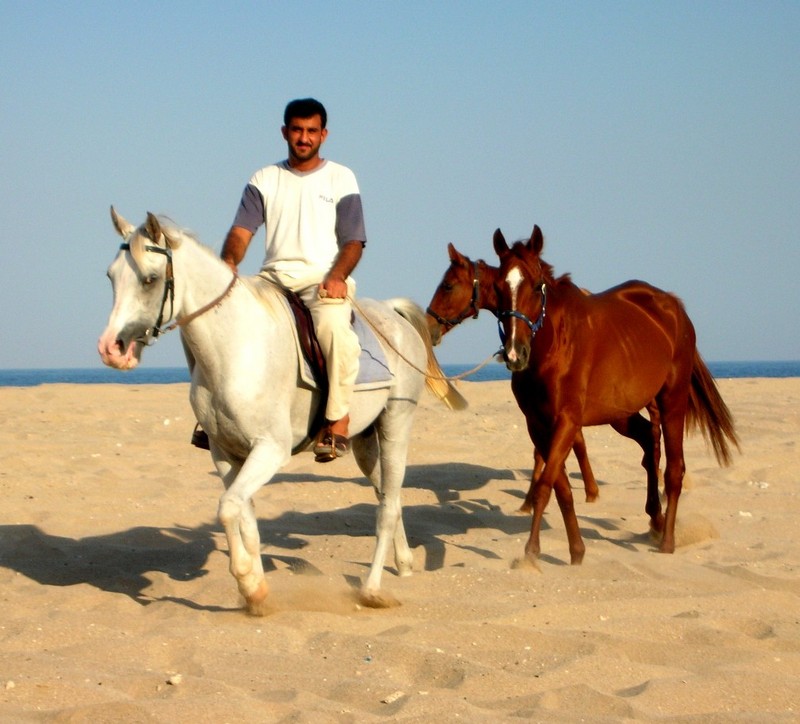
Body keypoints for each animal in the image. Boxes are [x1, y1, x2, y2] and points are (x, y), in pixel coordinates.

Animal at [97, 206, 466, 612]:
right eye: (111, 276)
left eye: (149, 279)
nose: (111, 348)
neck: (235, 347)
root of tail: (393, 314)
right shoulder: (225, 454)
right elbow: (244, 518)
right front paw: (256, 593)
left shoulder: (270, 451)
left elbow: (228, 508)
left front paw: (247, 580)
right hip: (366, 442)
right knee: (390, 496)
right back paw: (403, 564)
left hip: (396, 423)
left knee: (386, 509)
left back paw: (371, 590)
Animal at [496, 226, 740, 564]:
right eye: (498, 286)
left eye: (535, 286)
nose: (514, 354)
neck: (554, 346)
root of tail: (674, 307)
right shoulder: (538, 425)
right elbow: (560, 488)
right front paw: (576, 550)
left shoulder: (567, 420)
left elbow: (545, 485)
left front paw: (531, 553)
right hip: (621, 413)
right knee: (649, 444)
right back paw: (655, 519)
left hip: (672, 401)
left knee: (674, 470)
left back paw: (667, 540)